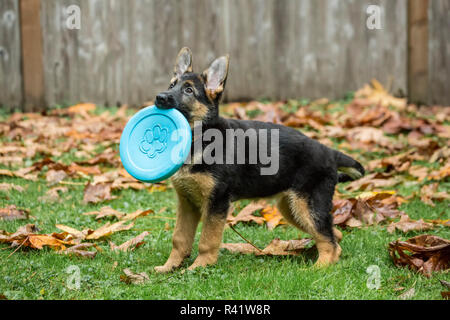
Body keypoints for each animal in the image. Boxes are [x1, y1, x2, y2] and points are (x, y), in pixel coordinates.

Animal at [153, 47, 364, 272]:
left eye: (189, 91)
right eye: (172, 85)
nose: (159, 97)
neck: (200, 138)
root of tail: (328, 151)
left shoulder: (217, 203)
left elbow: (207, 240)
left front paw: (199, 267)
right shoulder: (187, 203)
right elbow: (179, 238)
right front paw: (169, 267)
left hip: (308, 205)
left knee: (328, 239)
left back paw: (318, 268)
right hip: (292, 208)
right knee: (333, 235)